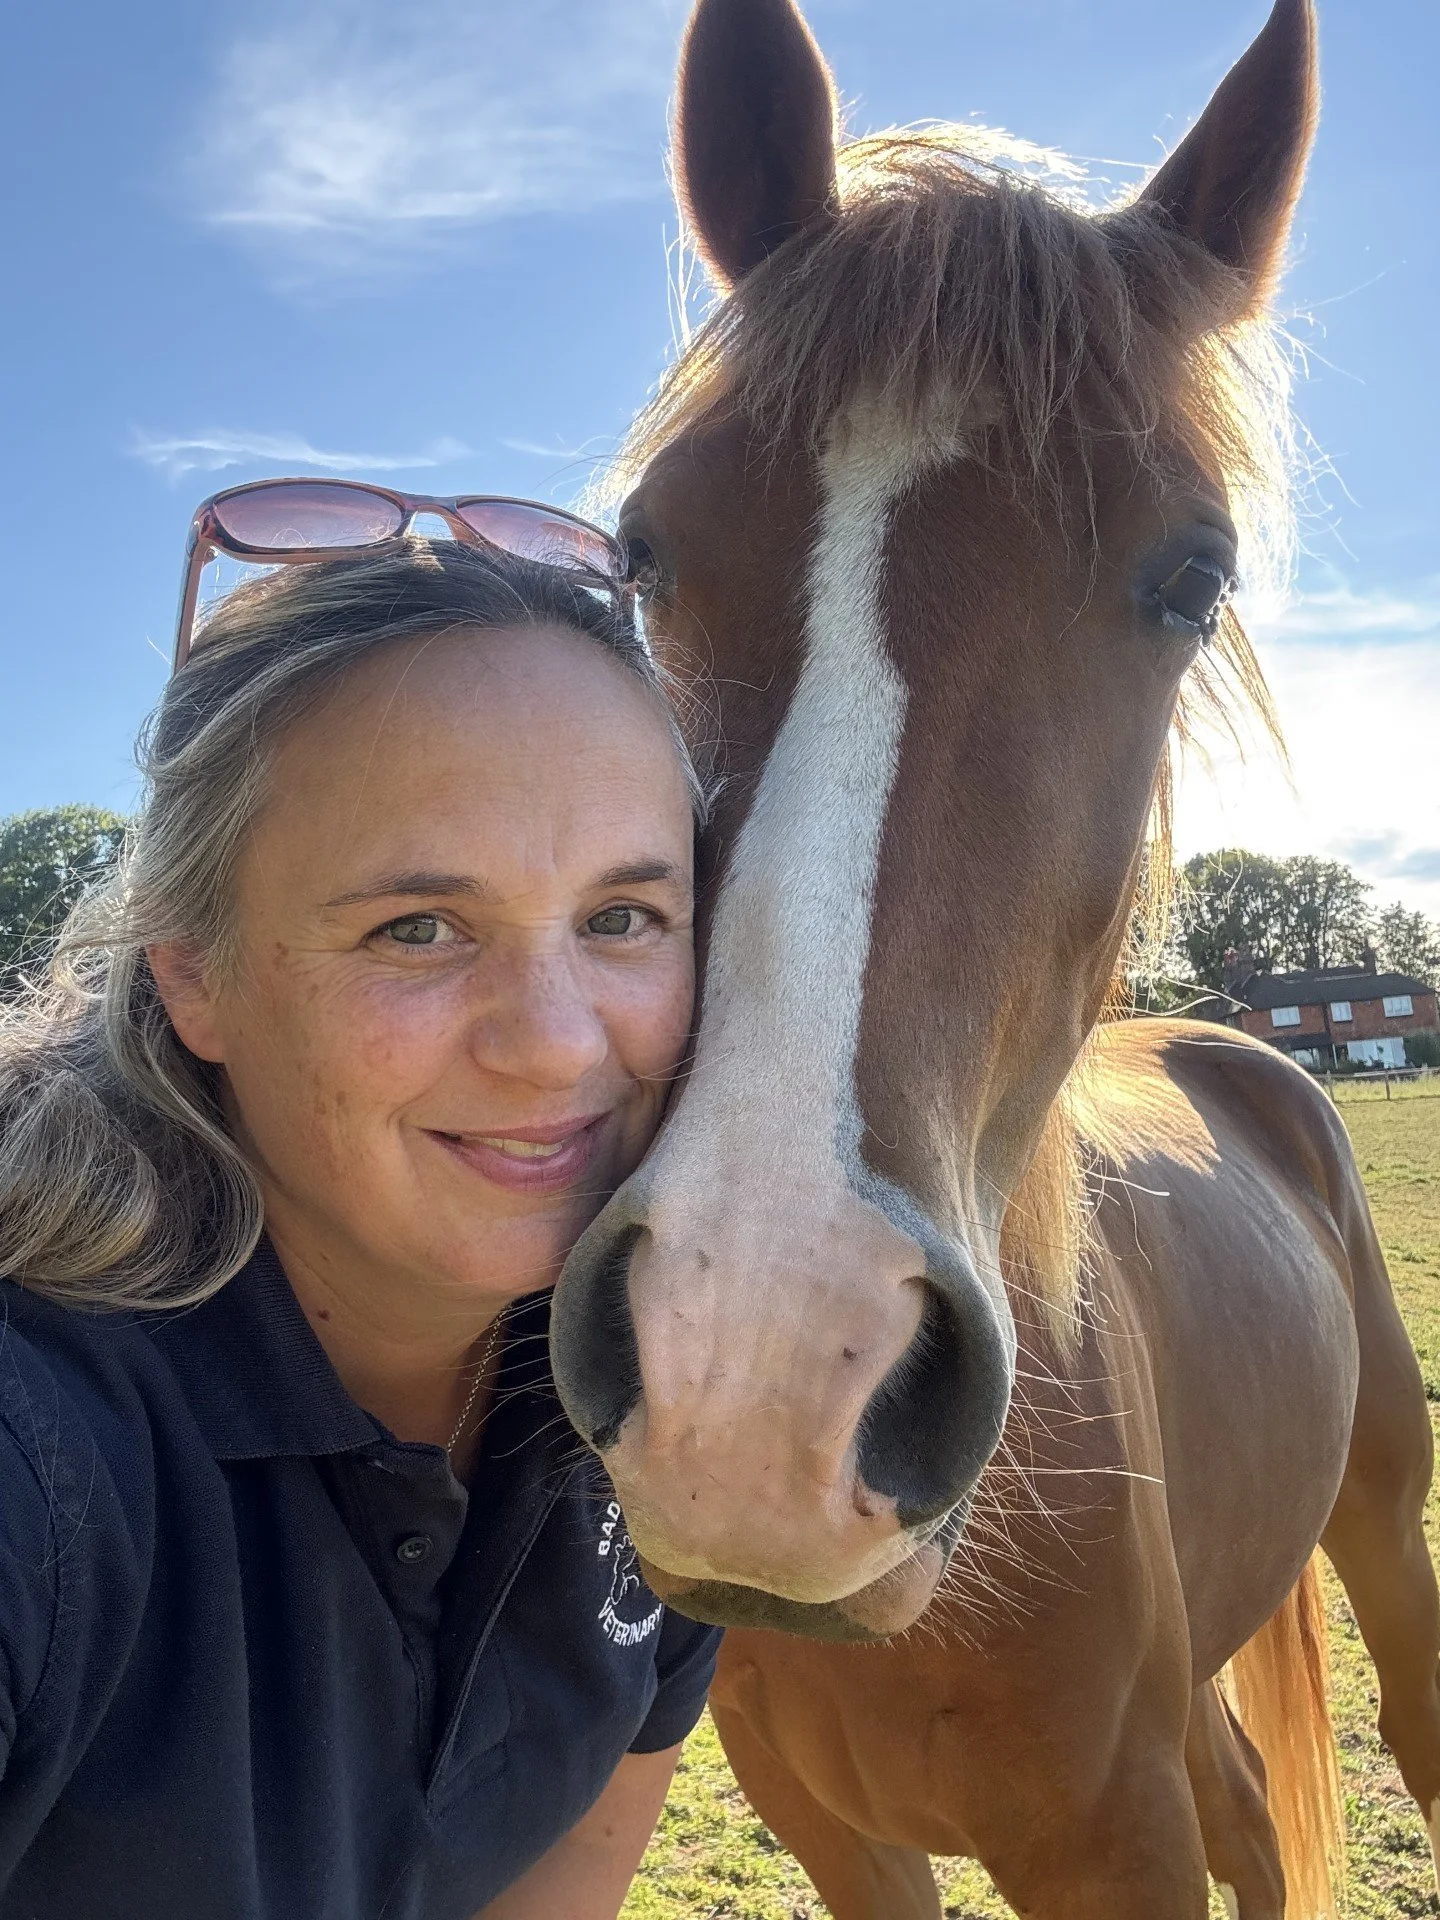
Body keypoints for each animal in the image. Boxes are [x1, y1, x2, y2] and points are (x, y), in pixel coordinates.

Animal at [549, 1, 1440, 1913]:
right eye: (644, 551)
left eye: (1197, 578)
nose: (758, 1371)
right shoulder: (841, 1840)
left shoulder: (1117, 1847)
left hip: (1385, 1532)